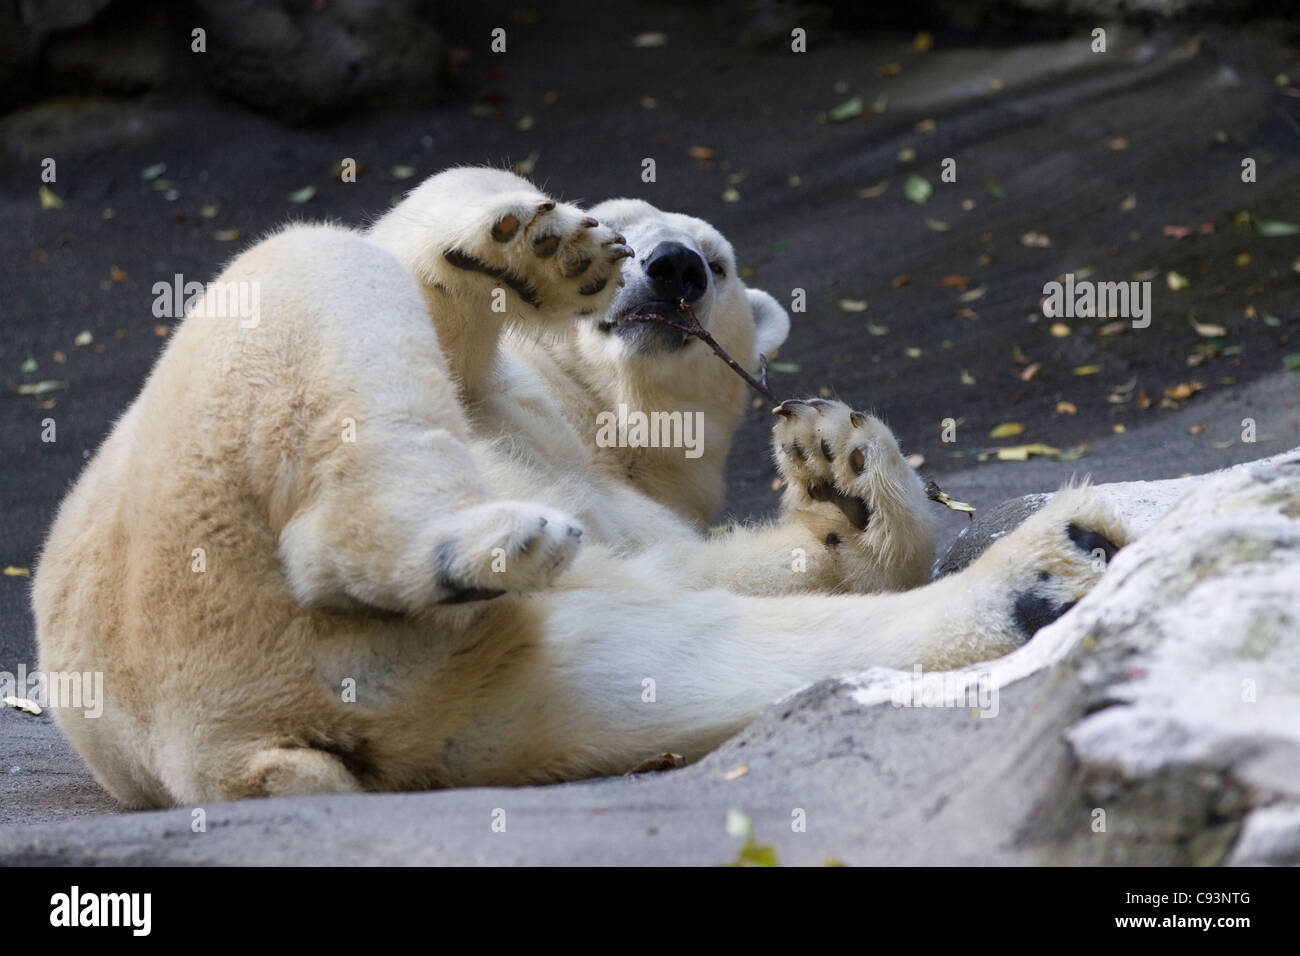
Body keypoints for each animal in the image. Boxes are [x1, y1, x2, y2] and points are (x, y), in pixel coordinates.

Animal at [33, 167, 1127, 807]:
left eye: (719, 259)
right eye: (634, 223)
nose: (674, 267)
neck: (600, 416)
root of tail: (221, 746)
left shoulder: (620, 494)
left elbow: (702, 570)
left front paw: (843, 475)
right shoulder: (512, 400)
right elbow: (430, 296)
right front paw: (539, 246)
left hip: (422, 694)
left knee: (645, 665)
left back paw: (1051, 569)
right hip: (186, 522)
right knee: (314, 262)